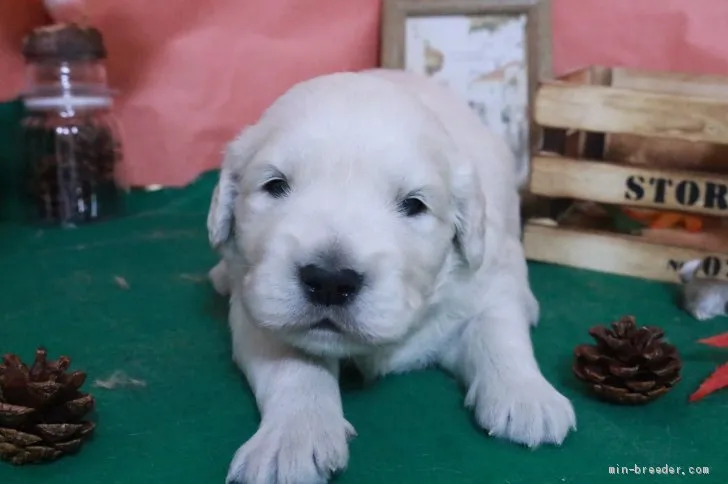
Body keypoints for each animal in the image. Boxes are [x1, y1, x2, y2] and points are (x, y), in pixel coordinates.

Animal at [205, 68, 576, 484]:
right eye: (275, 185)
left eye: (414, 204)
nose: (330, 281)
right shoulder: (258, 309)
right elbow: (293, 364)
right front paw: (292, 439)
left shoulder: (486, 282)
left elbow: (498, 329)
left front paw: (528, 396)